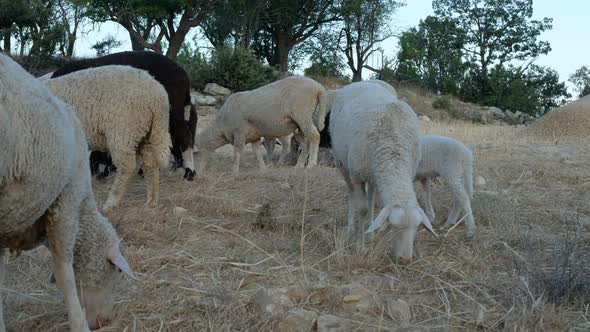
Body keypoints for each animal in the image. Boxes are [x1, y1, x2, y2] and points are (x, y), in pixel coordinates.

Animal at [45, 65, 171, 211]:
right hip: (146, 133)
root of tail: (159, 95)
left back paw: (111, 202)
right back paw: (151, 202)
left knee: (126, 167)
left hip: (123, 130)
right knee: (150, 164)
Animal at [198, 75, 328, 174]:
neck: (221, 125)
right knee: (305, 142)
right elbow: (257, 152)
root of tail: (319, 87)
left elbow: (237, 152)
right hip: (300, 122)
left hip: (302, 113)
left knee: (314, 136)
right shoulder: (253, 136)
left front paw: (234, 171)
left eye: (195, 153)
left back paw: (311, 165)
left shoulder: (239, 132)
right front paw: (263, 168)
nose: (195, 173)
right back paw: (299, 165)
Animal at [330, 81, 438, 268]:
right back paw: (350, 228)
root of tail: (361, 82)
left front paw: (370, 231)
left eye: (417, 227)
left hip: (373, 174)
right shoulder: (356, 176)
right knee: (351, 193)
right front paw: (360, 246)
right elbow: (362, 209)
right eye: (393, 225)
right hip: (342, 164)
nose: (404, 261)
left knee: (372, 195)